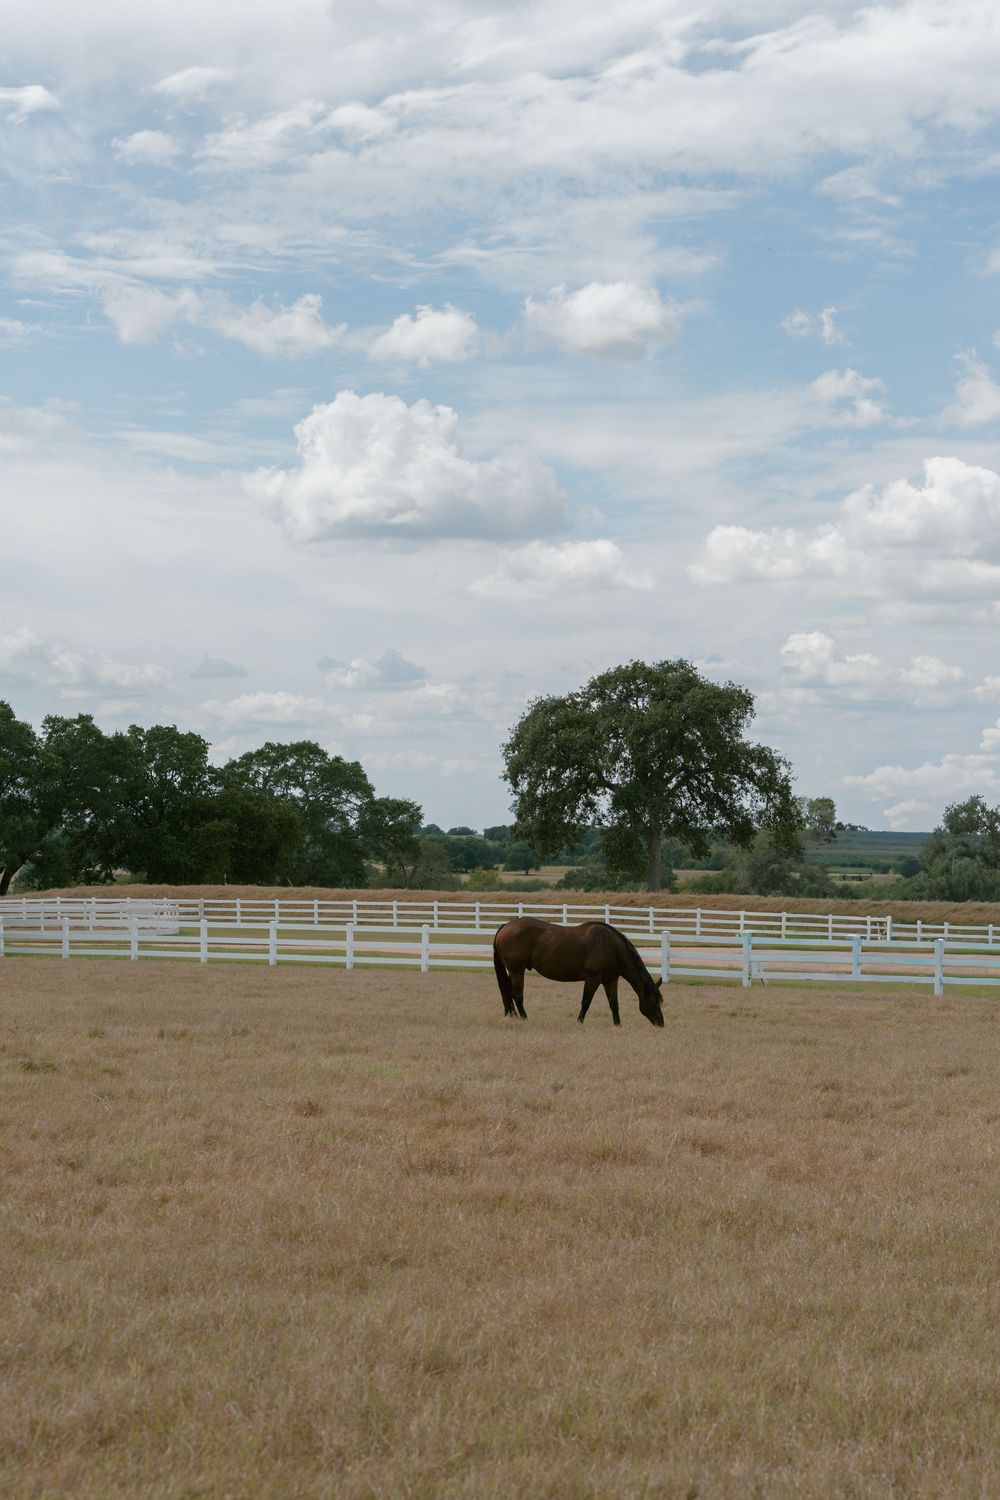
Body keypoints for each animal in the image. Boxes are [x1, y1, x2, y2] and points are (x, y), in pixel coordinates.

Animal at [492, 917, 665, 1027]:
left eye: (660, 1001)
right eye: (652, 1001)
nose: (661, 1024)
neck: (610, 946)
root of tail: (506, 926)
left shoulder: (610, 980)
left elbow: (614, 1004)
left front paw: (618, 1025)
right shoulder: (593, 978)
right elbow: (586, 1001)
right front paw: (579, 1022)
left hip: (512, 971)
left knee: (508, 994)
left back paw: (511, 1016)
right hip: (516, 970)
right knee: (517, 996)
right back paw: (524, 1019)